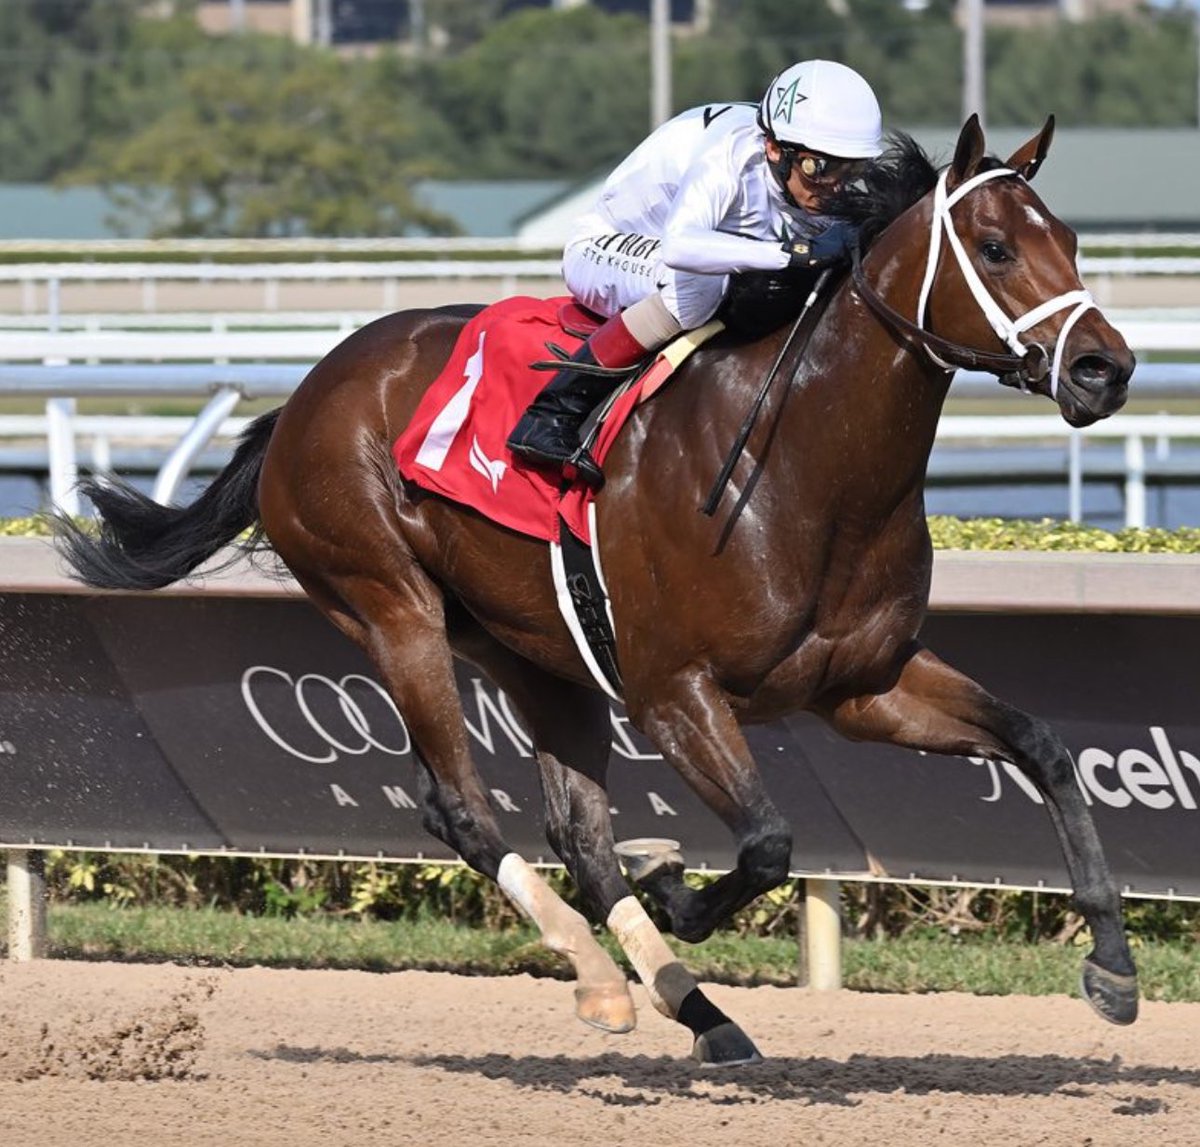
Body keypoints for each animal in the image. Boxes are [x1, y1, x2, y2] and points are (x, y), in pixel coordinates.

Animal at [52, 115, 1137, 1066]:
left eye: (1072, 239)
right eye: (994, 247)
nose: (1105, 367)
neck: (803, 466)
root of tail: (310, 392)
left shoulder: (863, 686)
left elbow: (1041, 746)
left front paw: (1114, 965)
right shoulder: (674, 691)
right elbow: (768, 842)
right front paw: (681, 892)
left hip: (535, 651)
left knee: (577, 834)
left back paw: (694, 1009)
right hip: (389, 607)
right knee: (463, 810)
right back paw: (613, 979)